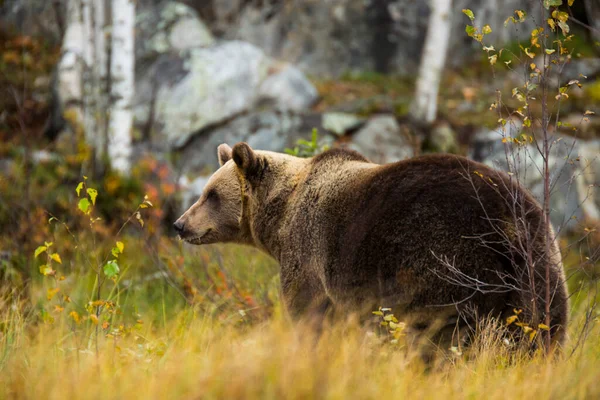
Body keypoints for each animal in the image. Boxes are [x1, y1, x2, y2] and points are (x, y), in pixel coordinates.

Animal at [175, 142, 572, 348]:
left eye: (210, 194)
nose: (180, 224)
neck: (279, 217)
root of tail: (508, 219)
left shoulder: (307, 253)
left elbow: (306, 311)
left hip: (445, 259)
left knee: (435, 331)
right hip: (540, 266)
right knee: (542, 333)